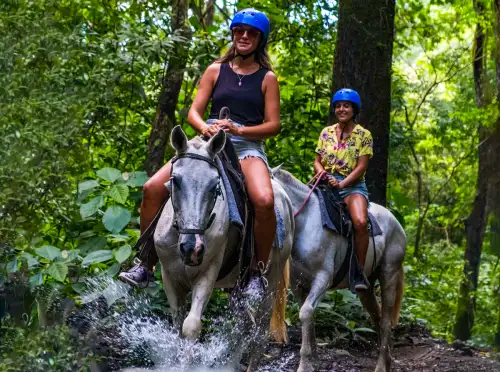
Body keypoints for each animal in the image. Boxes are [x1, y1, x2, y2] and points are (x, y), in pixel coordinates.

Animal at [152, 127, 292, 370]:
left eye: (215, 186)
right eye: (174, 180)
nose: (192, 249)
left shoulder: (208, 272)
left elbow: (191, 326)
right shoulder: (169, 275)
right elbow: (177, 325)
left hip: (271, 279)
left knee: (259, 330)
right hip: (237, 286)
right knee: (243, 324)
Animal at [274, 168, 406, 372]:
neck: (305, 224)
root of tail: (397, 224)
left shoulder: (323, 279)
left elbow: (305, 313)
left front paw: (304, 364)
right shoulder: (298, 285)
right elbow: (308, 317)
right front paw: (313, 362)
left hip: (389, 274)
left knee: (385, 321)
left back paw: (381, 366)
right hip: (366, 289)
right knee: (376, 316)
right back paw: (387, 360)